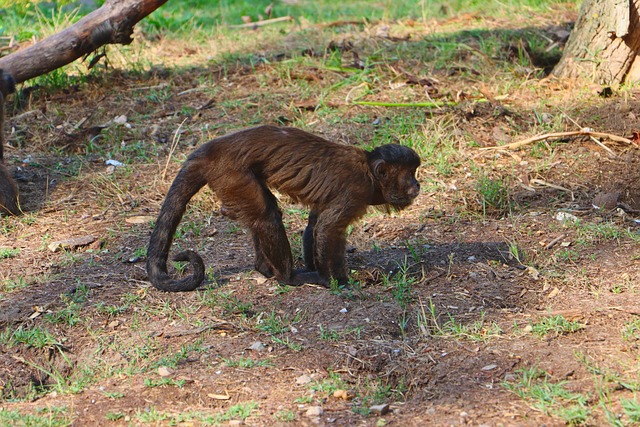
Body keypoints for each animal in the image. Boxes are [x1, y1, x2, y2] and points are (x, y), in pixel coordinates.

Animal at [148, 125, 422, 292]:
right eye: (409, 174)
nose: (417, 184)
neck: (370, 174)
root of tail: (208, 150)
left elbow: (314, 225)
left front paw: (316, 267)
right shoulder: (355, 191)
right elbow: (327, 228)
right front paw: (335, 281)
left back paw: (264, 269)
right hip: (230, 174)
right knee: (266, 216)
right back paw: (287, 277)